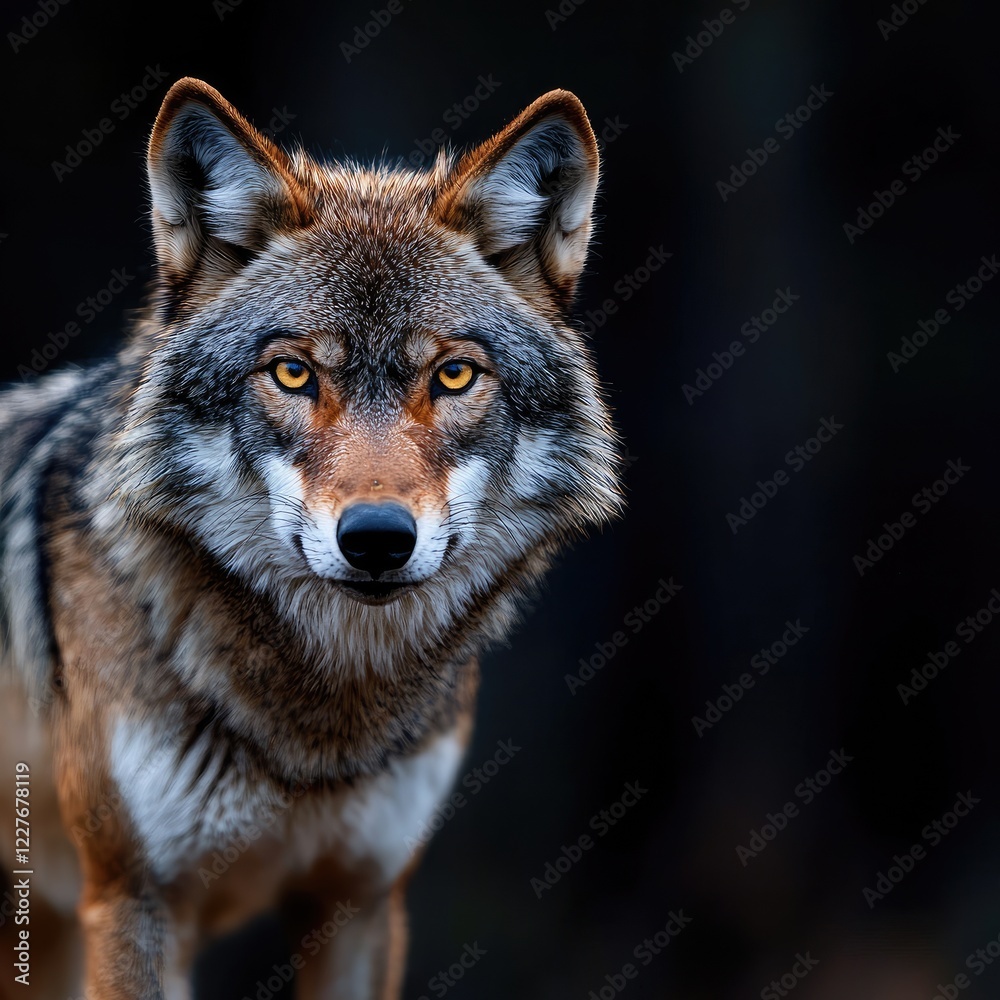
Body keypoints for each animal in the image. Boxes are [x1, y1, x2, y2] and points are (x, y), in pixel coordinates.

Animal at [0, 77, 622, 997]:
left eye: (454, 375)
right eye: (294, 373)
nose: (378, 539)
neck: (318, 729)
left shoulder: (364, 901)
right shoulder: (132, 902)